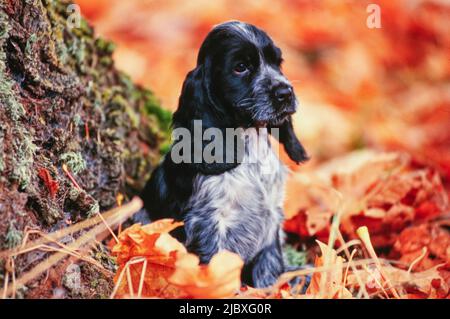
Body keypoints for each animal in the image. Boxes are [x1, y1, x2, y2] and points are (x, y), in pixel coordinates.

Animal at [142, 21, 310, 288]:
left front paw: (274, 286)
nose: (285, 92)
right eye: (241, 67)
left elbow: (269, 261)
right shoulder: (209, 222)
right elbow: (216, 265)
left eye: (277, 62)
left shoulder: (272, 216)